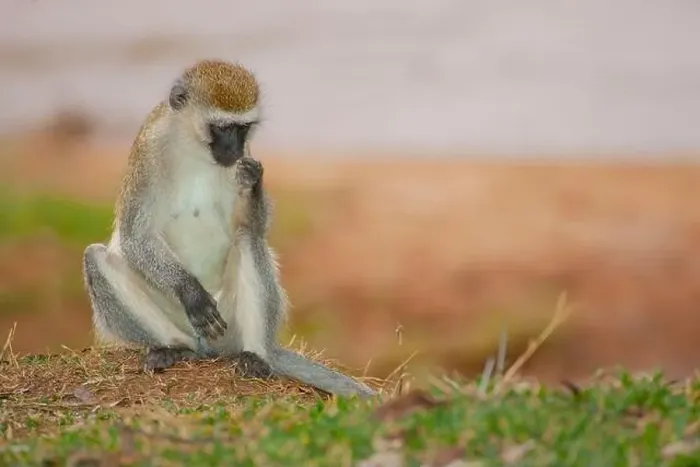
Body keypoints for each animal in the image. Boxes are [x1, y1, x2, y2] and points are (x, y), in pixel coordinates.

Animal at [81, 59, 375, 399]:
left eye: (243, 128)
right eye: (222, 128)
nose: (233, 149)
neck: (191, 144)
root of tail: (212, 349)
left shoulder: (247, 155)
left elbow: (251, 226)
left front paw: (254, 184)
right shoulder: (147, 151)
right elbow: (134, 235)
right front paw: (191, 292)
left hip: (231, 325)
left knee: (248, 240)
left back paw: (256, 357)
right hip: (184, 322)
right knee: (94, 257)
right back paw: (174, 348)